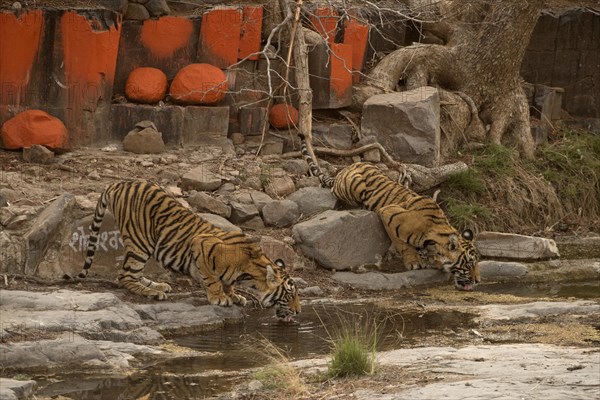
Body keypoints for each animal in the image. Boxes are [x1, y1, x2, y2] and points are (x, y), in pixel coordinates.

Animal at [78, 181, 300, 322]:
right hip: (140, 241)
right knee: (125, 276)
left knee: (131, 274)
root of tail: (118, 183)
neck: (249, 272)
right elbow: (212, 279)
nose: (298, 312)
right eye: (289, 296)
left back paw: (158, 285)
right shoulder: (202, 244)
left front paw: (234, 295)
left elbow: (227, 282)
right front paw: (219, 297)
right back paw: (152, 292)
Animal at [298, 134, 480, 290]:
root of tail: (348, 167)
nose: (478, 281)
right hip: (353, 185)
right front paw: (413, 261)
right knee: (333, 189)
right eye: (469, 264)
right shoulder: (389, 213)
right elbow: (402, 244)